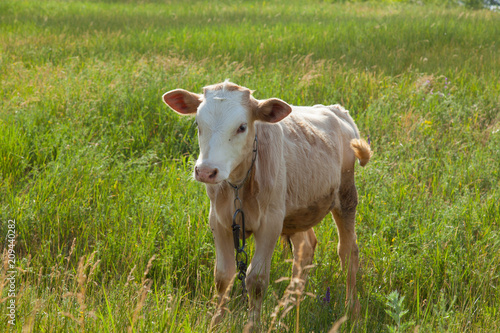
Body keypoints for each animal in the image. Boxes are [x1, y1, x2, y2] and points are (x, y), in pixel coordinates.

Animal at [163, 81, 372, 326]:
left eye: (242, 127)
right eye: (198, 123)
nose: (206, 171)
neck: (238, 185)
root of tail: (337, 110)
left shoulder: (270, 222)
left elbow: (256, 279)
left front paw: (253, 324)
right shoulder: (218, 220)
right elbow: (223, 276)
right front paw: (215, 322)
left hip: (346, 197)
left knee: (348, 251)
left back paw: (352, 310)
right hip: (297, 210)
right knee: (305, 248)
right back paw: (289, 305)